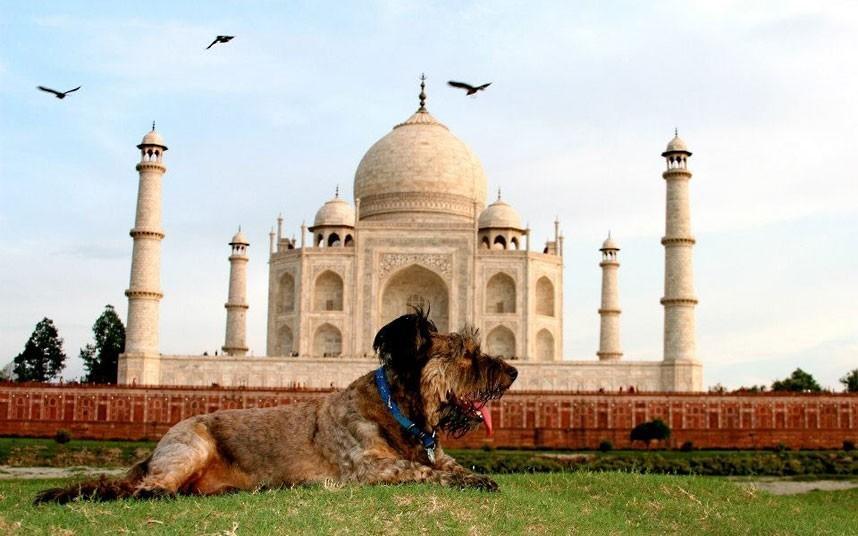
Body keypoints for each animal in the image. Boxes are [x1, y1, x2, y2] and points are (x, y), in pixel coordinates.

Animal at [35, 310, 516, 502]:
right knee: (145, 490)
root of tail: (150, 454)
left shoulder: (434, 450)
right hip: (188, 444)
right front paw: (466, 481)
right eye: (466, 354)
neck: (400, 415)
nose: (512, 372)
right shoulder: (367, 467)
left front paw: (475, 476)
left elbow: (453, 465)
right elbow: (421, 471)